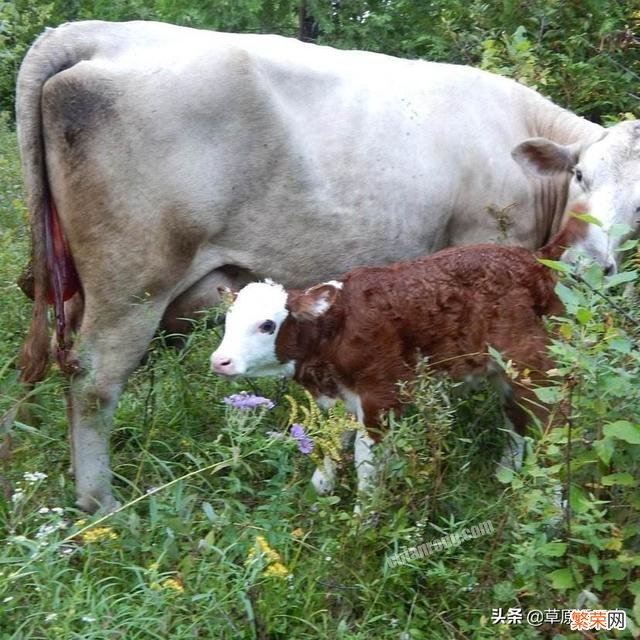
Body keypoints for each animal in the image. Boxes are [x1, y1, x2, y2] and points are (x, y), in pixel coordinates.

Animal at [210, 224, 580, 496]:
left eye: (267, 325)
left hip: (536, 366)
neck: (334, 330)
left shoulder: (381, 394)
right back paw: (506, 474)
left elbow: (366, 461)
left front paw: (363, 522)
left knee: (550, 424)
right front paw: (322, 486)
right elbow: (333, 437)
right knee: (515, 419)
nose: (219, 361)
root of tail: (535, 258)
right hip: (506, 373)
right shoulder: (343, 397)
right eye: (228, 321)